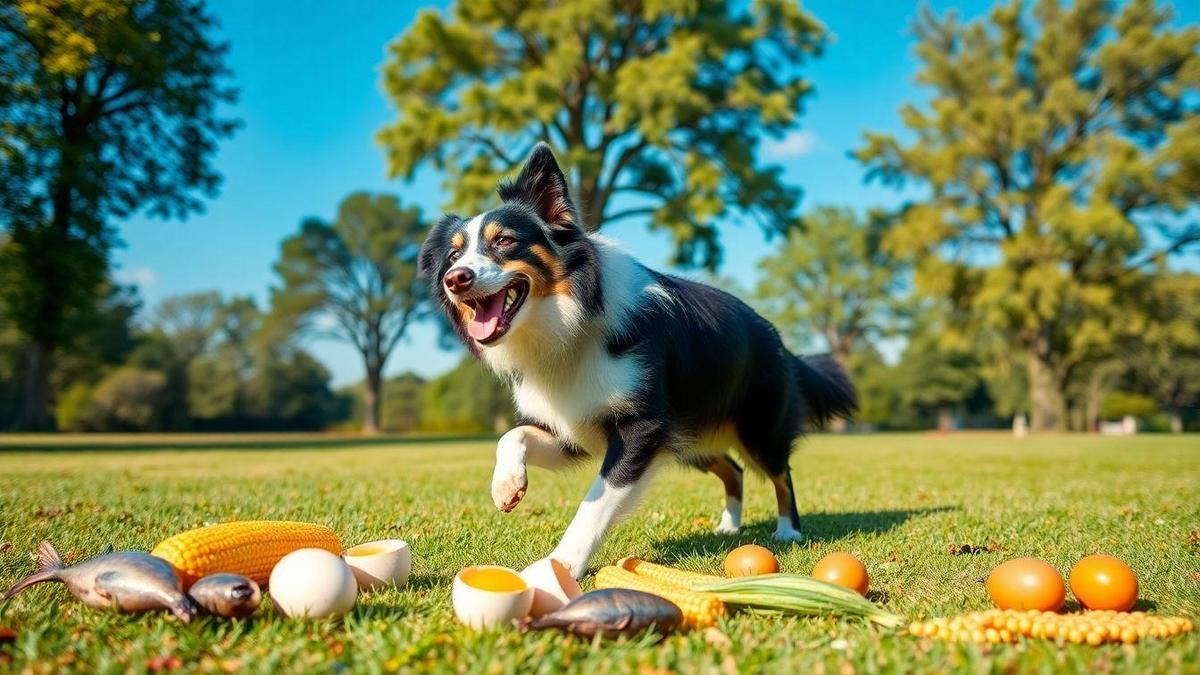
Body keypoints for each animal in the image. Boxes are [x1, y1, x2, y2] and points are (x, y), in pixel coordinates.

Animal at [417, 144, 859, 576]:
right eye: (453, 255)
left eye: (505, 241)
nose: (455, 279)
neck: (569, 322)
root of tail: (779, 339)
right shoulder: (572, 425)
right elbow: (512, 434)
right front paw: (506, 484)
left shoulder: (641, 429)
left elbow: (595, 503)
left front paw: (558, 565)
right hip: (689, 434)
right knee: (732, 469)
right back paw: (729, 525)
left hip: (758, 427)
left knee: (780, 473)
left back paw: (787, 530)